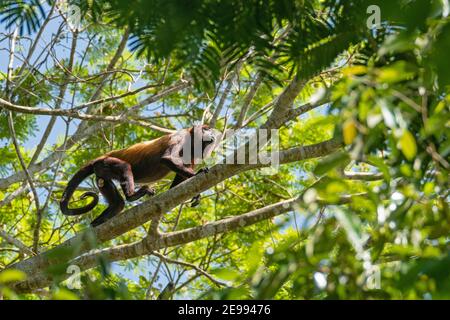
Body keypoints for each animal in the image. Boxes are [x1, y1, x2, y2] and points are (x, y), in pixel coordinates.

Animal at [60, 124, 218, 226]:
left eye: (210, 130)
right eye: (206, 129)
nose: (212, 134)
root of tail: (101, 157)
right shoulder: (181, 136)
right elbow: (167, 158)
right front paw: (197, 174)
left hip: (101, 171)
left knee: (116, 200)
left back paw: (102, 219)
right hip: (106, 162)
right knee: (125, 167)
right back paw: (132, 196)